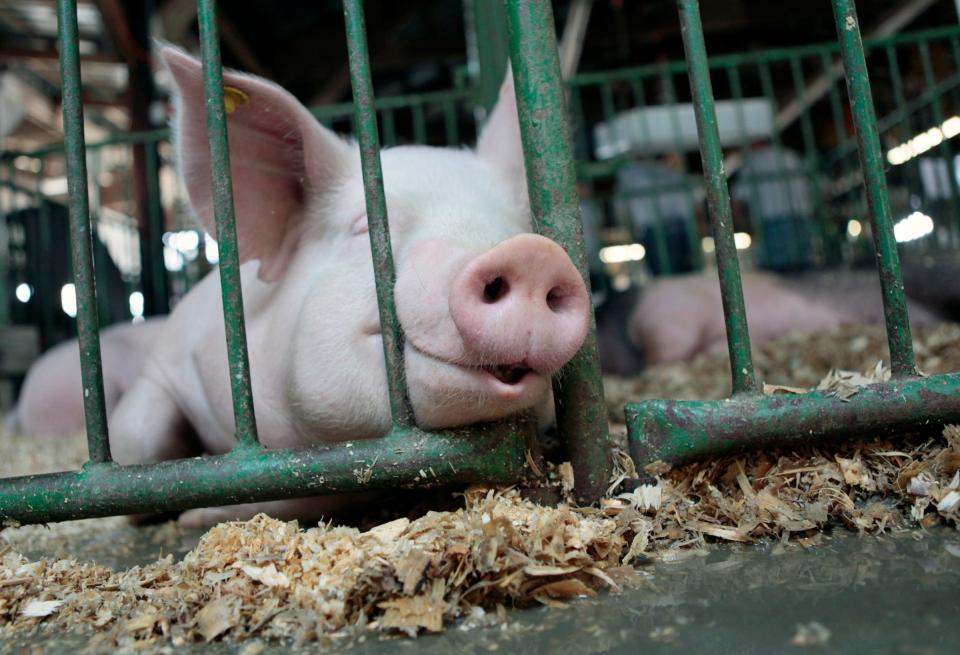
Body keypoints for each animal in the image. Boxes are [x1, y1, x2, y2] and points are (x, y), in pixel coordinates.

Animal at [11, 46, 588, 528]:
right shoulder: (169, 367)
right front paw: (181, 518)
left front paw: (197, 517)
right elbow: (140, 440)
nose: (532, 254)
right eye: (366, 227)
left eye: (520, 224)